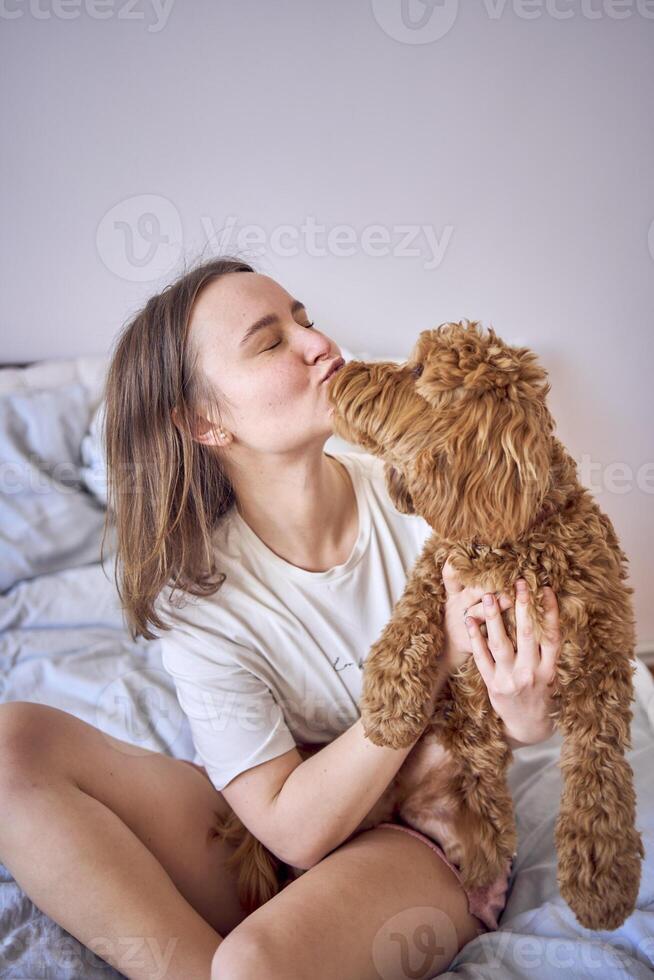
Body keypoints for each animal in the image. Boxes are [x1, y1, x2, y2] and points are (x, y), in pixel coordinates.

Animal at [213, 320, 644, 936]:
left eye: (417, 371)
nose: (342, 369)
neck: (513, 537)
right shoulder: (440, 565)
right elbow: (409, 618)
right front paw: (390, 708)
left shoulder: (603, 656)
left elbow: (600, 770)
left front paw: (601, 878)